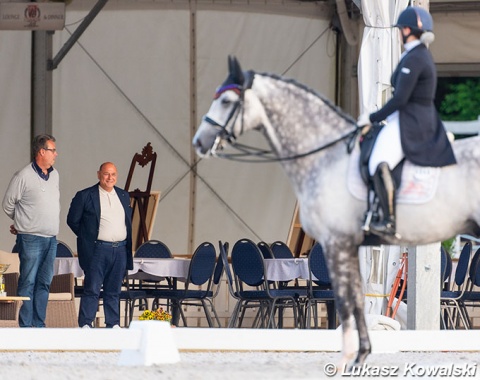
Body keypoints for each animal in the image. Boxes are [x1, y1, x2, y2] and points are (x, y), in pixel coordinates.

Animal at [192, 55, 480, 366]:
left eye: (226, 101)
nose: (199, 142)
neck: (327, 157)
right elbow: (352, 300)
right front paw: (359, 355)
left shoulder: (335, 242)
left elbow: (345, 301)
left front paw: (353, 357)